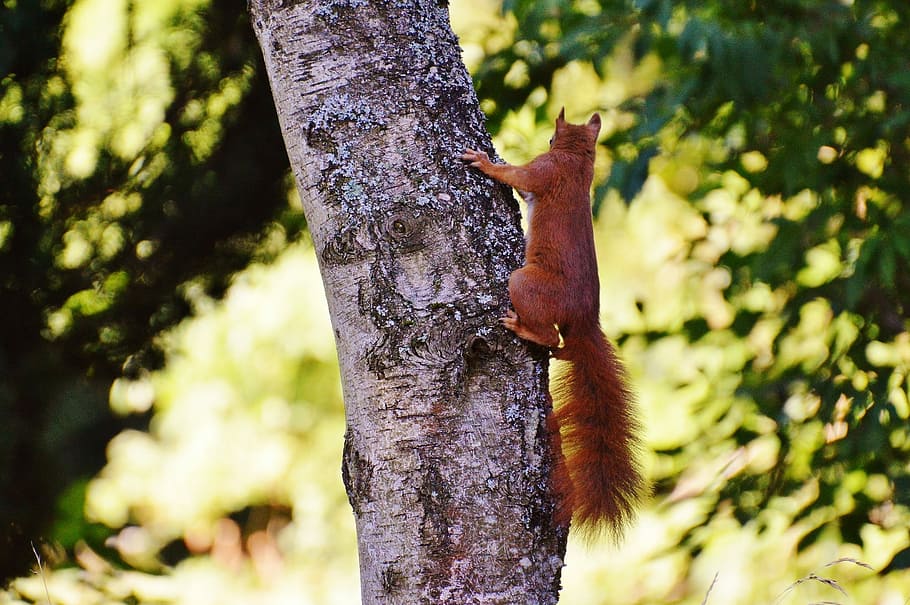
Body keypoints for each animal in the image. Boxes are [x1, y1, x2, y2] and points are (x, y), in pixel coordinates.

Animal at [461, 109, 646, 540]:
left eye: (549, 139)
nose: (548, 138)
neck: (577, 162)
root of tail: (585, 320)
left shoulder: (545, 172)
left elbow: (518, 177)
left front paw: (485, 162)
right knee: (560, 348)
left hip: (525, 284)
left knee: (549, 337)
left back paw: (523, 328)